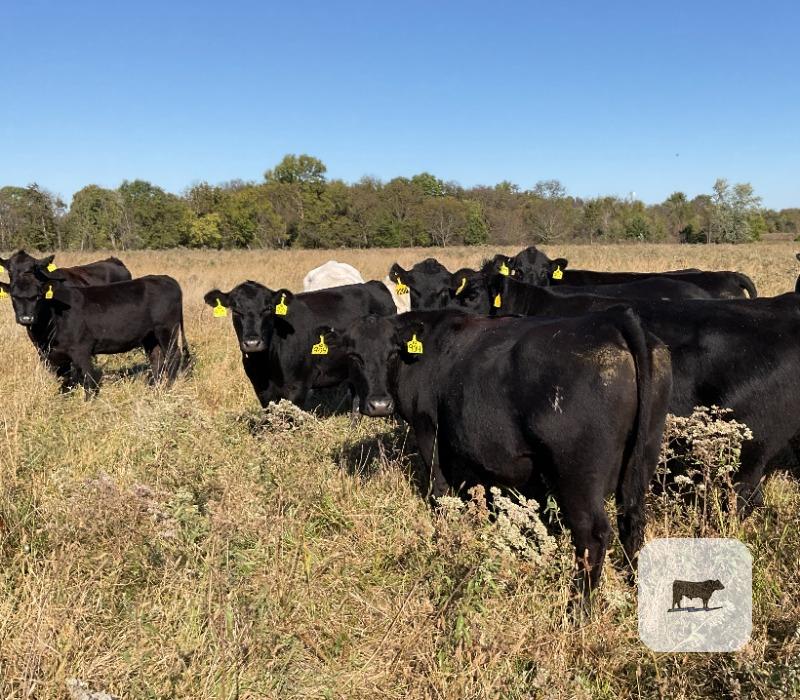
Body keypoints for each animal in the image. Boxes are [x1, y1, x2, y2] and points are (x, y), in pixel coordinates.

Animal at [0, 271, 189, 397]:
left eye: (38, 296)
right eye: (14, 297)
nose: (26, 318)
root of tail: (166, 278)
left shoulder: (82, 349)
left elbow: (88, 377)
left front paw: (88, 401)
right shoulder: (49, 355)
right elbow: (64, 380)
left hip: (167, 330)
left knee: (173, 355)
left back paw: (167, 386)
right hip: (150, 336)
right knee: (156, 358)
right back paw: (153, 387)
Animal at [203, 280, 396, 408]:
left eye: (268, 309)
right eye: (235, 310)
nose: (252, 342)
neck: (266, 363)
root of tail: (373, 284)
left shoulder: (299, 386)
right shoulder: (261, 388)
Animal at [320, 308, 673, 599]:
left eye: (393, 352)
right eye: (354, 355)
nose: (379, 404)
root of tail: (612, 319)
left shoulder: (428, 430)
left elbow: (440, 490)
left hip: (578, 474)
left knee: (593, 536)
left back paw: (577, 610)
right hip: (641, 461)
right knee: (632, 522)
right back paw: (634, 586)